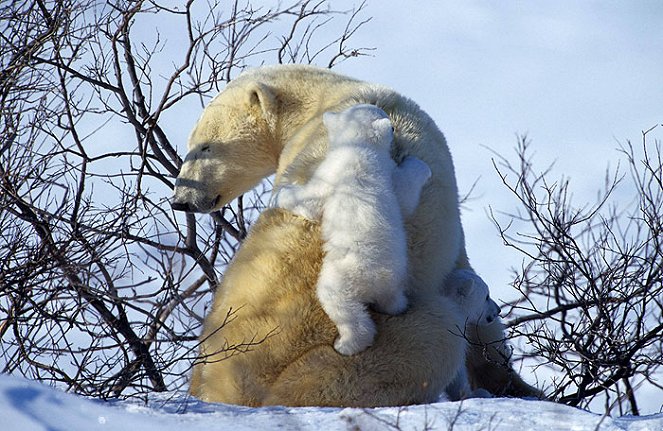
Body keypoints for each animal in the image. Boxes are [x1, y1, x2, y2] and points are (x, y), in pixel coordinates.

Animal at [274, 104, 430, 354]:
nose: (394, 127)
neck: (360, 148)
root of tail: (378, 278)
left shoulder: (331, 171)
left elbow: (311, 200)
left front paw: (284, 193)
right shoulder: (389, 174)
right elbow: (405, 196)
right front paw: (419, 165)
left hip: (342, 277)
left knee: (340, 304)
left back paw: (346, 344)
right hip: (394, 279)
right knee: (392, 300)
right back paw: (396, 307)